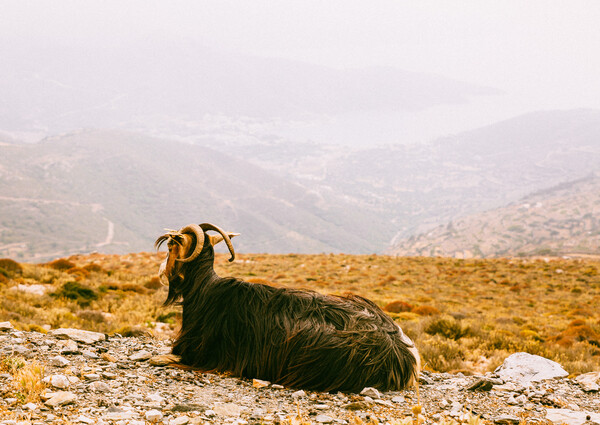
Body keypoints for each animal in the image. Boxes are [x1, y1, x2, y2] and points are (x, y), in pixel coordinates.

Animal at [155, 224, 420, 392]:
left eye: (170, 247)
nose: (161, 272)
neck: (203, 288)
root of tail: (403, 354)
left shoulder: (198, 352)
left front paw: (158, 359)